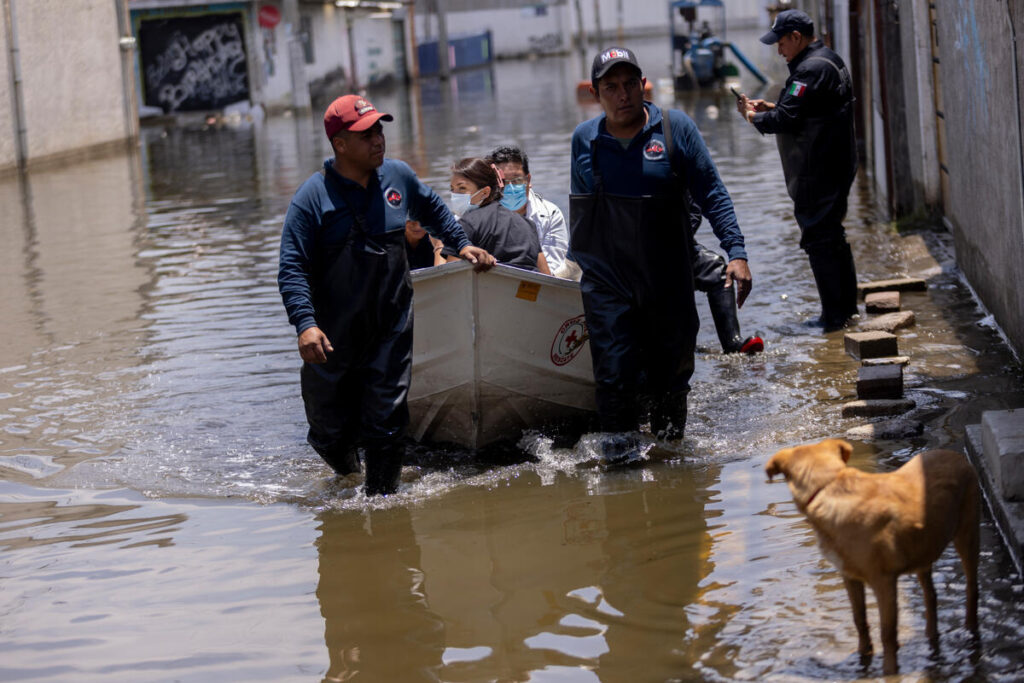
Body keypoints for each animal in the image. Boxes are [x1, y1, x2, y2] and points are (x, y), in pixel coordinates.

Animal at [770, 440, 974, 675]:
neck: (829, 488)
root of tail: (957, 456)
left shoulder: (884, 582)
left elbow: (887, 633)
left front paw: (889, 670)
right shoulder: (849, 577)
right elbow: (859, 619)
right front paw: (863, 654)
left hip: (967, 534)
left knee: (972, 588)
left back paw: (970, 629)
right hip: (923, 552)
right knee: (930, 597)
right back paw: (932, 634)